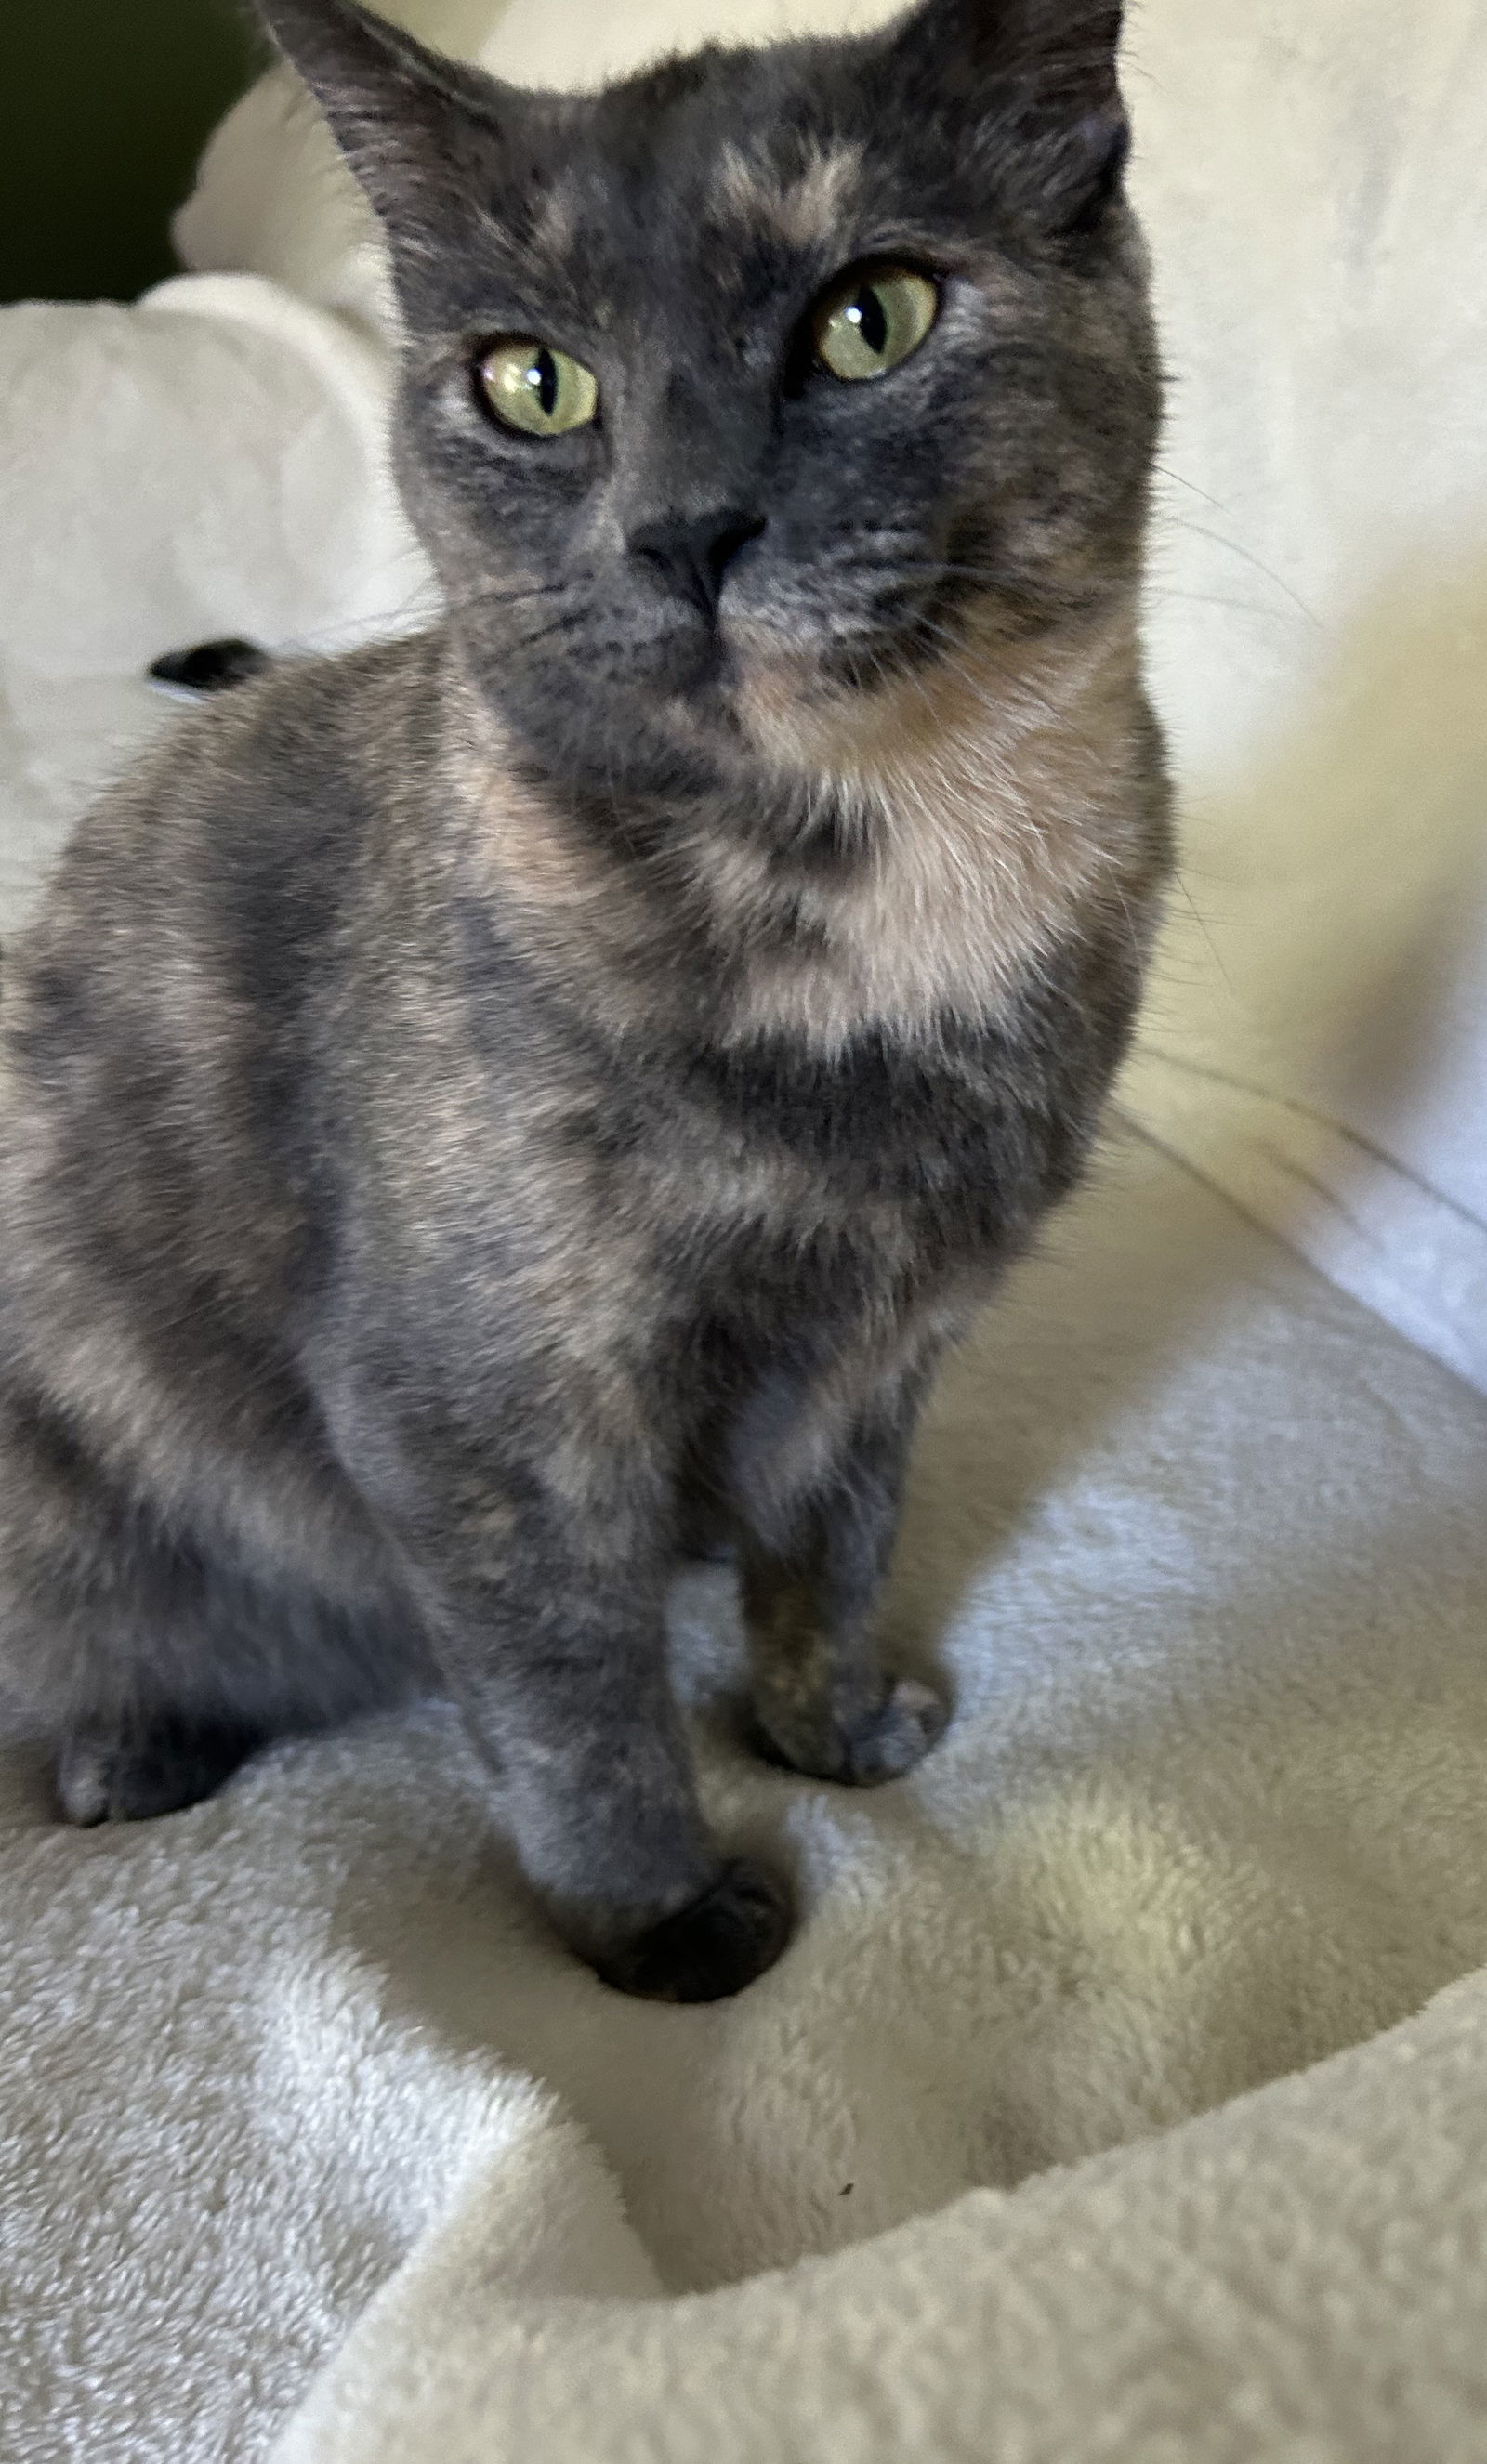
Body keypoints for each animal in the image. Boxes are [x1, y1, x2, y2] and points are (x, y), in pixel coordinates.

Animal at [0, 0, 1168, 2000]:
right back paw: (134, 1750)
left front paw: (829, 1729)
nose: (684, 530)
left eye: (871, 316)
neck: (884, 896)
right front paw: (664, 1926)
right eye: (532, 384)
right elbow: (573, 1705)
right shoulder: (478, 1418)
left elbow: (830, 1559)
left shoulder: (879, 1354)